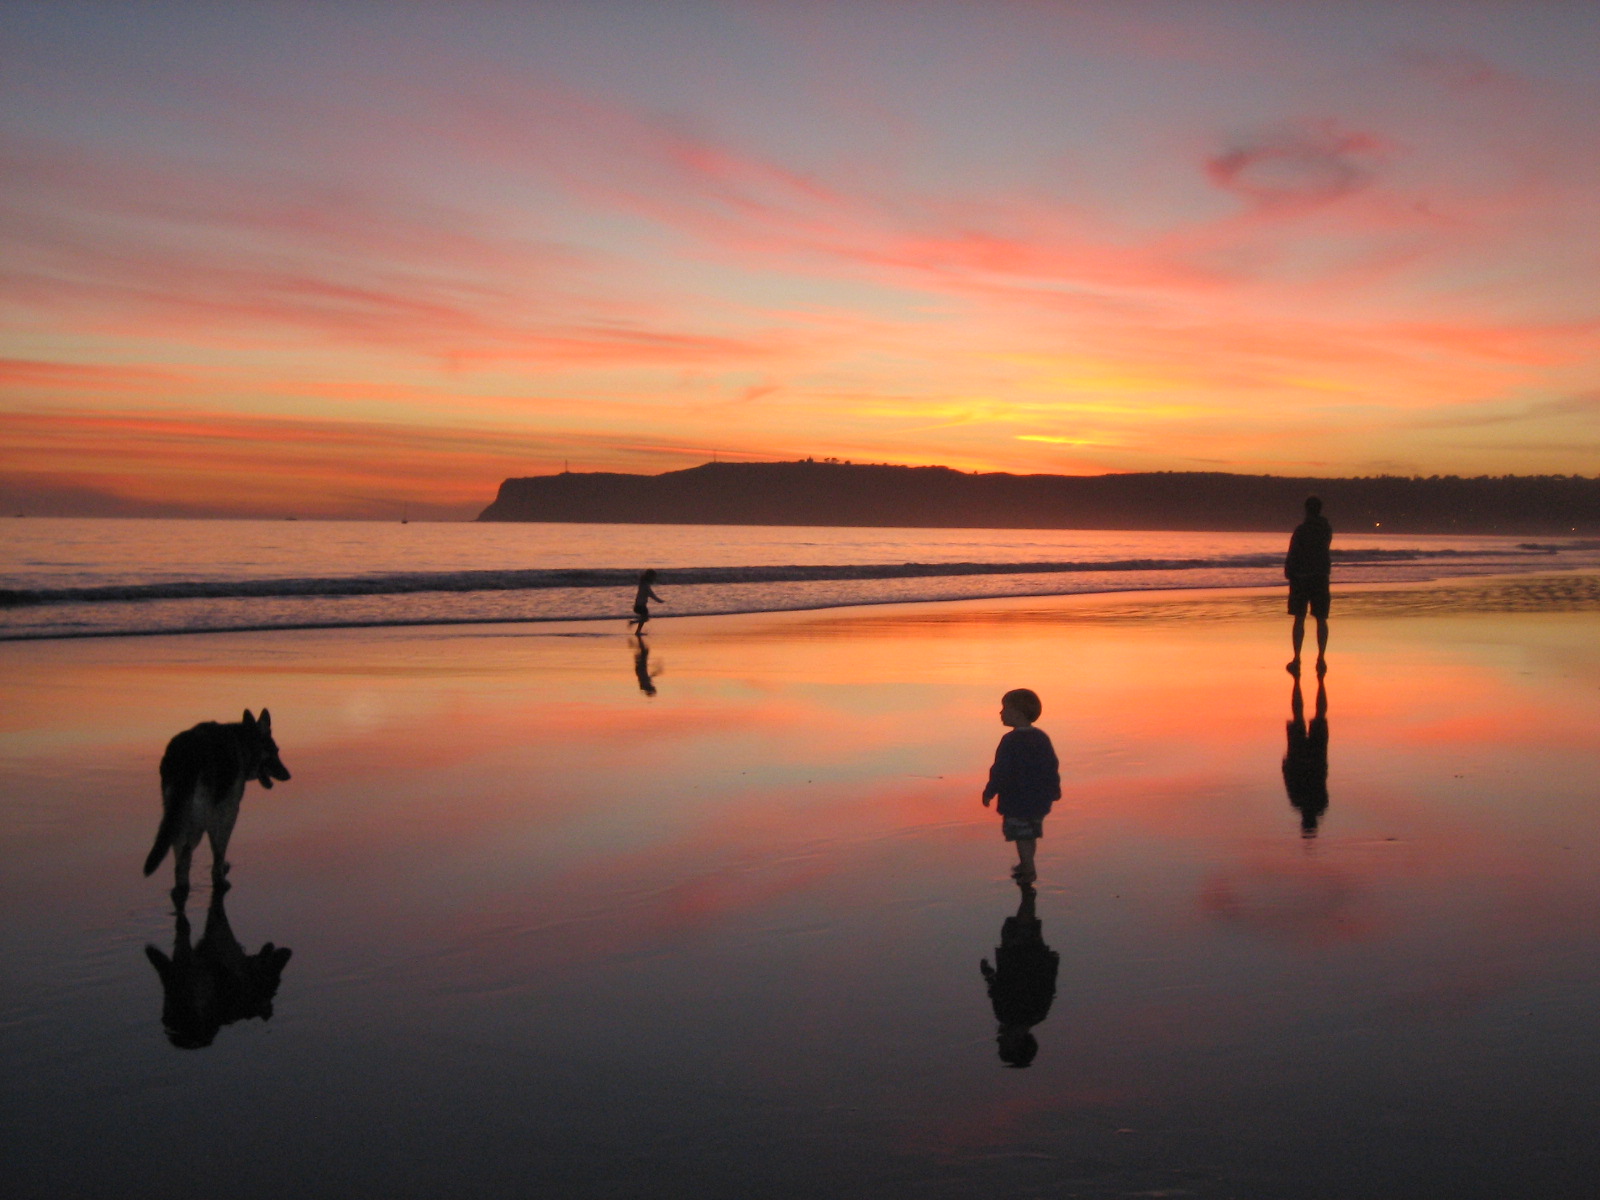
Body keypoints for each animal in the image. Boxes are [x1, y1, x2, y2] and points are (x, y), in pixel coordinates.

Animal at [144, 713, 291, 902]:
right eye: (274, 752)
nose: (288, 775)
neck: (242, 742)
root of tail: (187, 754)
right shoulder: (228, 810)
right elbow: (219, 848)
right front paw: (219, 873)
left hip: (177, 815)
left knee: (178, 855)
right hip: (198, 821)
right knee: (185, 855)